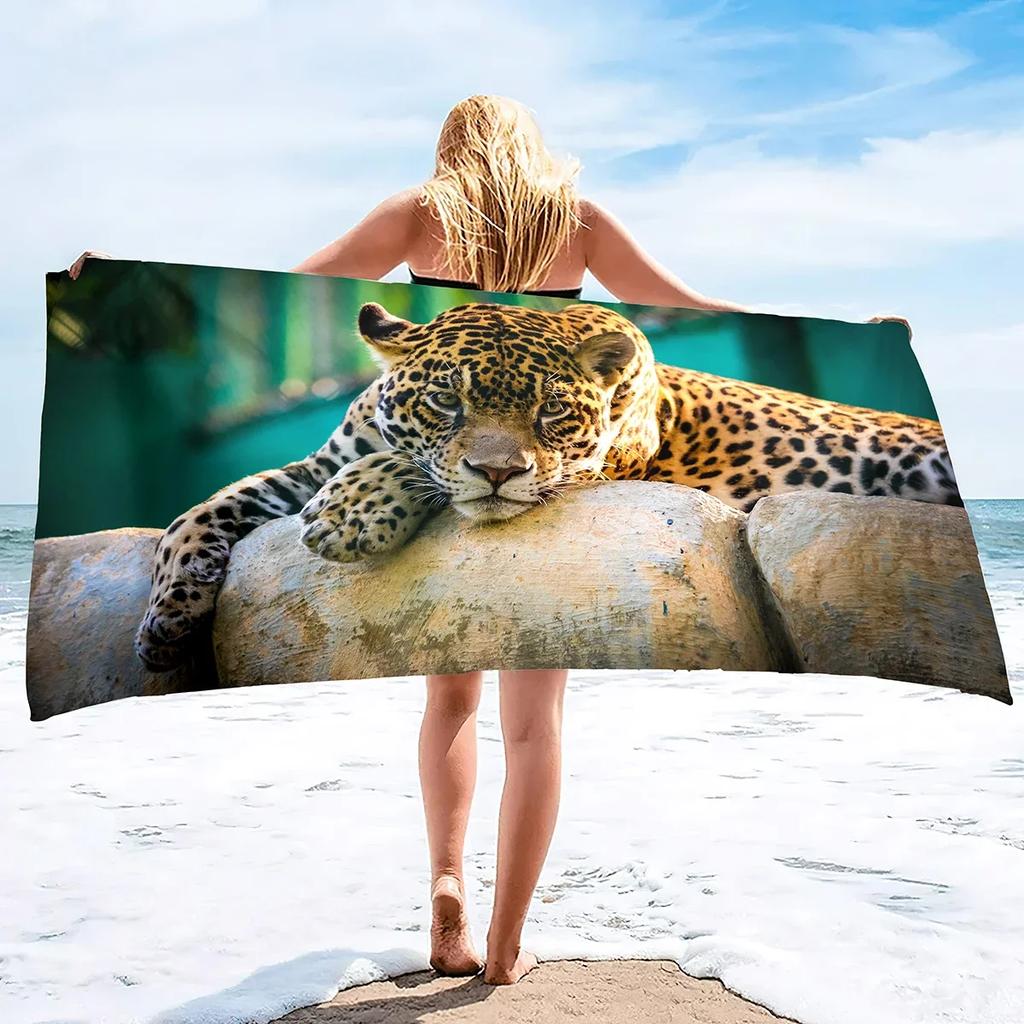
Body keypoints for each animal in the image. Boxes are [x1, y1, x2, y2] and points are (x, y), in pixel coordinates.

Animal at [135, 300, 960, 670]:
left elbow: (427, 473)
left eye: (552, 411)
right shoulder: (313, 463)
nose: (499, 471)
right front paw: (166, 622)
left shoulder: (593, 466)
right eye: (446, 401)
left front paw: (351, 512)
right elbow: (201, 511)